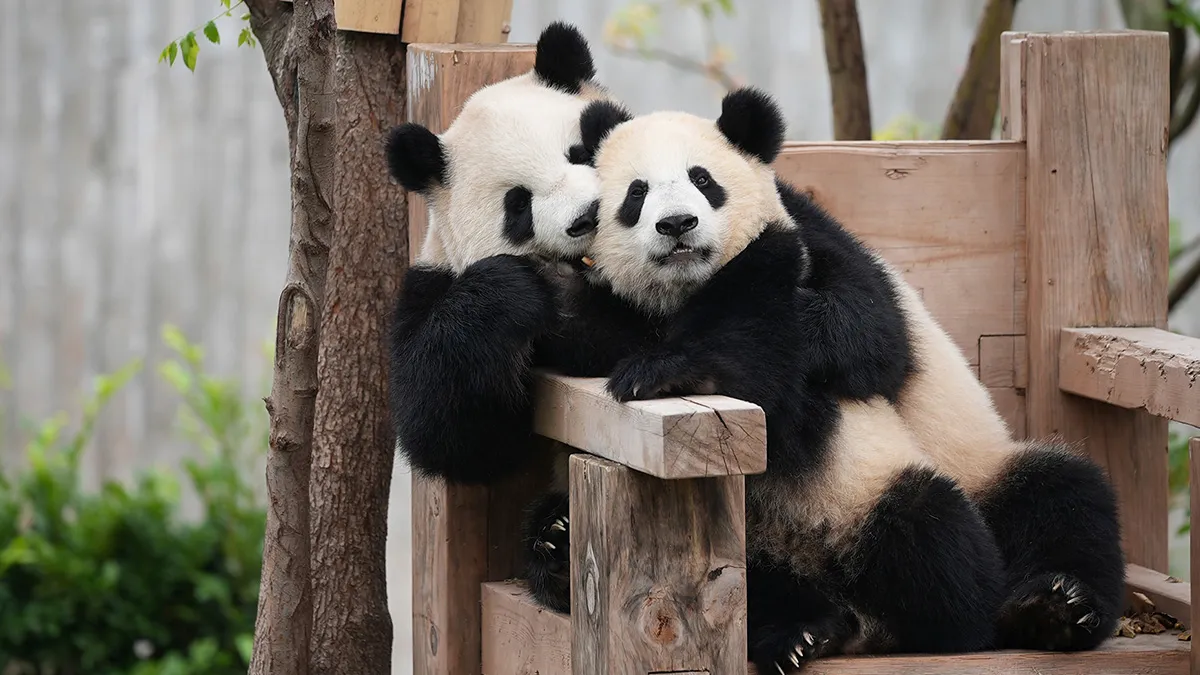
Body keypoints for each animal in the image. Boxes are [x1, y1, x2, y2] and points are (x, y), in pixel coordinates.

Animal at [383, 22, 641, 485]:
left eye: (578, 154)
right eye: (518, 204)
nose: (587, 216)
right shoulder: (429, 285)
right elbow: (456, 435)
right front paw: (516, 290)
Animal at [522, 87, 1126, 671]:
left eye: (703, 180)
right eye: (636, 194)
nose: (676, 225)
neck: (685, 295)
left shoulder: (817, 243)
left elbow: (860, 334)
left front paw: (673, 366)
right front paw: (564, 296)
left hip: (952, 480)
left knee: (1035, 506)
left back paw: (1047, 608)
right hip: (750, 554)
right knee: (737, 586)